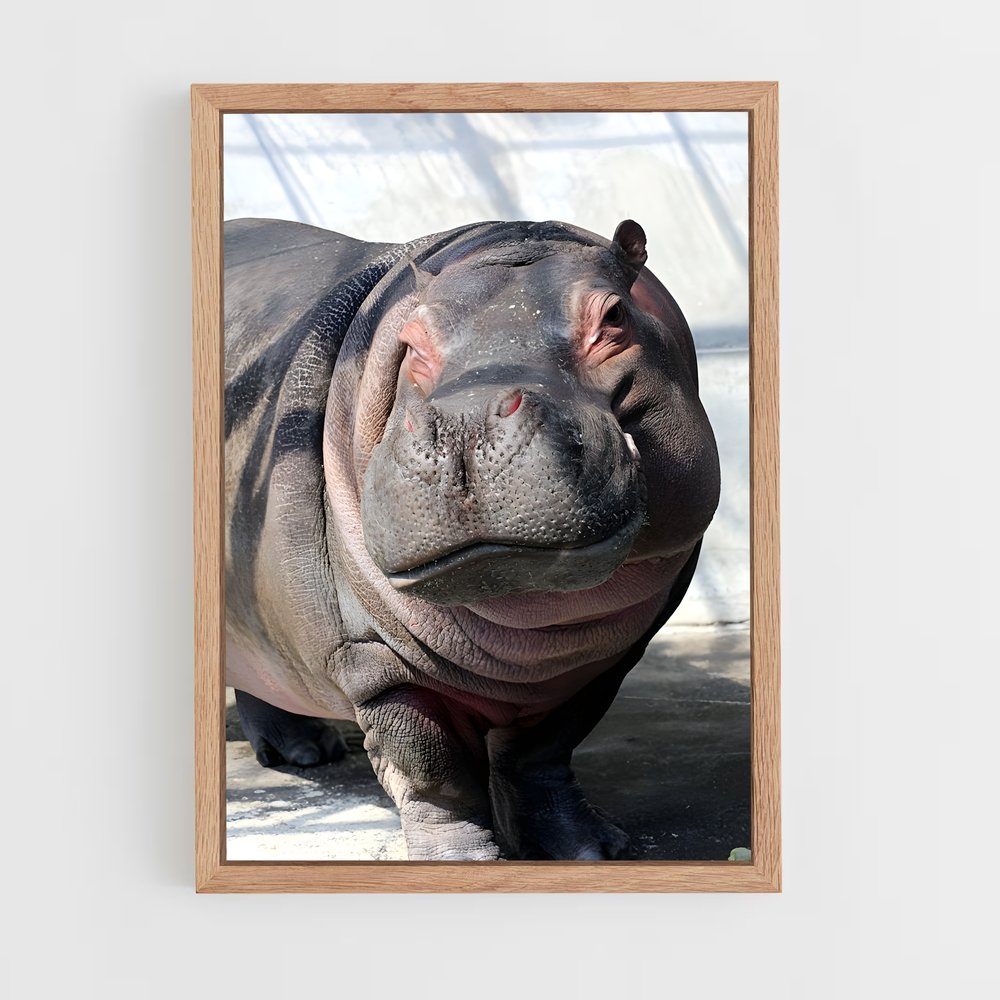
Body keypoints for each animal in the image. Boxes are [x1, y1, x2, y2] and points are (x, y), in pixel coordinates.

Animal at [224, 217, 720, 860]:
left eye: (614, 317)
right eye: (411, 338)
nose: (466, 419)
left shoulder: (604, 660)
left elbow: (544, 753)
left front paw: (594, 849)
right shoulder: (375, 661)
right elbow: (434, 772)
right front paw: (462, 861)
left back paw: (305, 753)